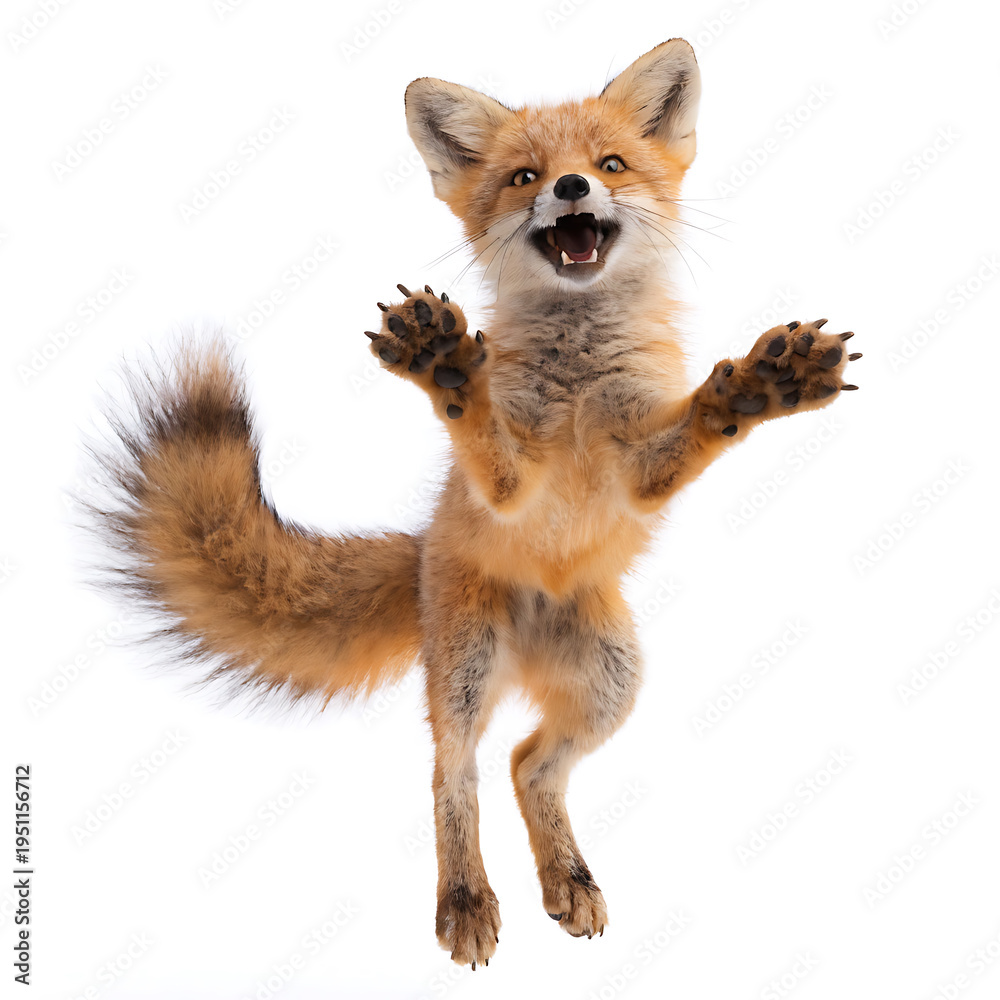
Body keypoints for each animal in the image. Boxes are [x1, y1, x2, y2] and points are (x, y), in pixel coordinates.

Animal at [84, 38, 860, 969]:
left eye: (609, 164)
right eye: (526, 177)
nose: (571, 188)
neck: (576, 378)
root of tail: (425, 553)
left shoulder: (640, 473)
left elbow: (703, 428)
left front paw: (760, 385)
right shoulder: (506, 488)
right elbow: (483, 432)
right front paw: (451, 369)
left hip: (612, 681)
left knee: (529, 763)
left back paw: (567, 878)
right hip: (467, 668)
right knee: (454, 773)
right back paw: (465, 898)